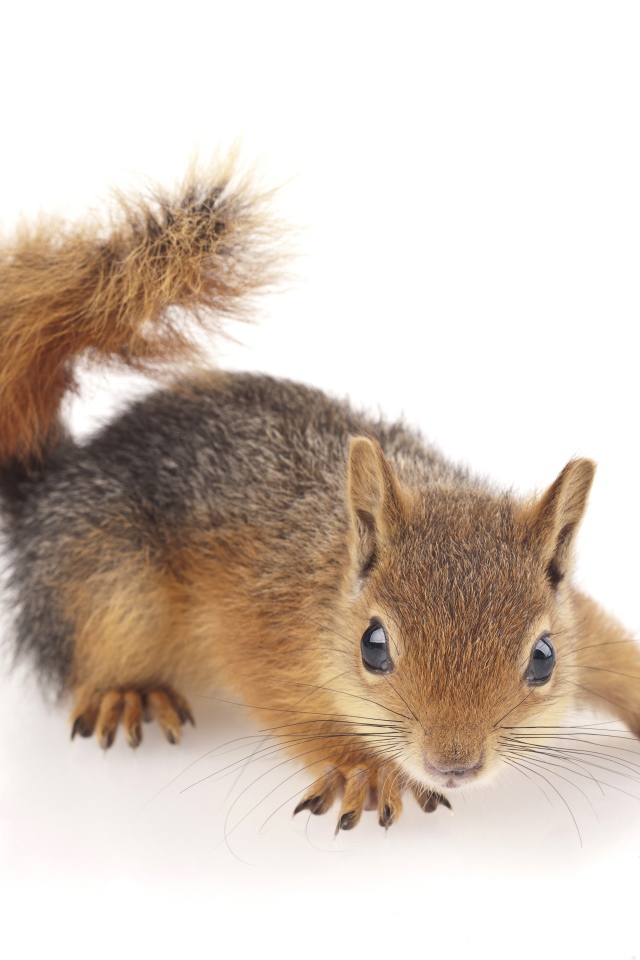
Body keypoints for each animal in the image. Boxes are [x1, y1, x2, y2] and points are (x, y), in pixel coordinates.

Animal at [1, 159, 640, 832]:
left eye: (544, 657)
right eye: (374, 647)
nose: (453, 764)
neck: (331, 575)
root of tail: (53, 478)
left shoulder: (581, 621)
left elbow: (610, 642)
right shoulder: (263, 625)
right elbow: (289, 704)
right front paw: (362, 767)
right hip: (107, 581)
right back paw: (126, 692)